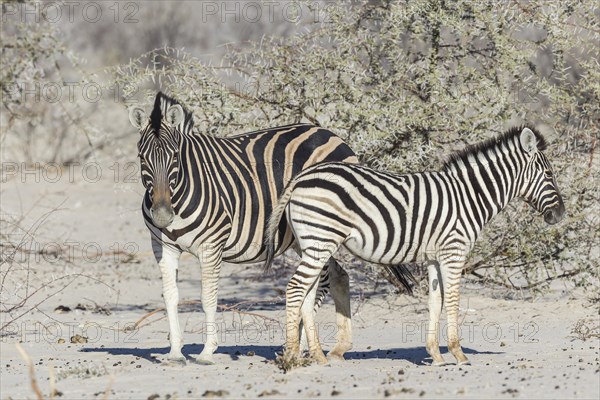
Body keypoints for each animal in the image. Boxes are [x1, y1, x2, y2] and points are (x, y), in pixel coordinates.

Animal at [129, 91, 360, 366]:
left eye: (175, 157)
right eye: (142, 158)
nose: (163, 216)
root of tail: (330, 134)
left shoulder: (211, 246)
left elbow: (208, 298)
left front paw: (207, 352)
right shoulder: (163, 246)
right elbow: (171, 297)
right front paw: (175, 352)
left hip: (322, 228)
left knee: (319, 281)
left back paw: (303, 347)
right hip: (307, 236)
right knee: (337, 275)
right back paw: (335, 348)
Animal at [264, 127, 564, 366]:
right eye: (549, 173)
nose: (560, 214)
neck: (468, 197)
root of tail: (300, 178)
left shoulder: (434, 257)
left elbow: (435, 301)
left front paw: (436, 355)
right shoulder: (454, 251)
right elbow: (452, 300)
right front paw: (458, 353)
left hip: (314, 245)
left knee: (306, 294)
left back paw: (318, 356)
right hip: (320, 241)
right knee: (296, 288)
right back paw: (292, 355)